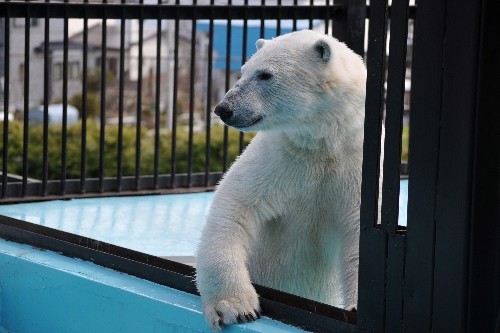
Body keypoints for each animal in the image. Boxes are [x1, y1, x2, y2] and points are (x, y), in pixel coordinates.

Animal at [196, 29, 368, 330]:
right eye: (243, 70)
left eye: (265, 75)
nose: (223, 109)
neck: (323, 143)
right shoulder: (279, 157)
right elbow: (234, 208)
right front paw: (235, 307)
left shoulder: (352, 166)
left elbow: (357, 233)